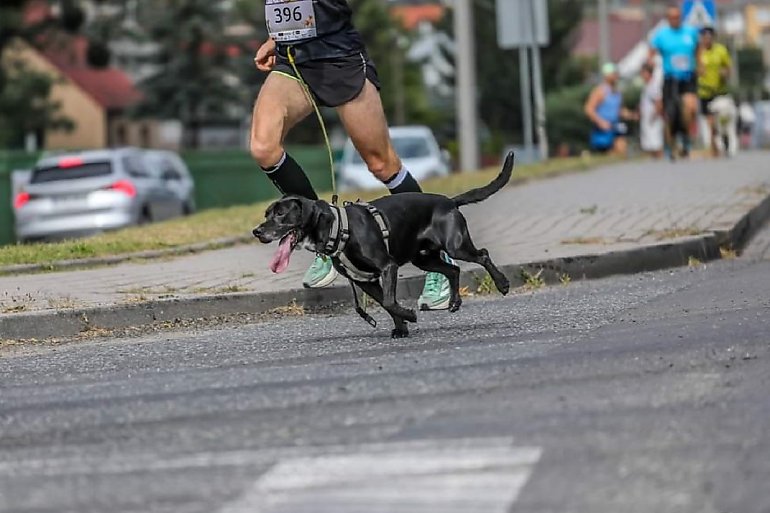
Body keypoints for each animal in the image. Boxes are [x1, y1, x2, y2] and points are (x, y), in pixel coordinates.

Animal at [254, 151, 516, 336]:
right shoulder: (365, 281)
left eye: (281, 214)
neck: (338, 229)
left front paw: (409, 316)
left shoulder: (387, 267)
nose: (256, 231)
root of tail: (450, 201)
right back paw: (454, 302)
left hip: (455, 245)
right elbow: (386, 304)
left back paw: (502, 284)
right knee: (453, 269)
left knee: (482, 254)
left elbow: (390, 301)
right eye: (267, 213)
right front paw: (402, 328)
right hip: (423, 258)